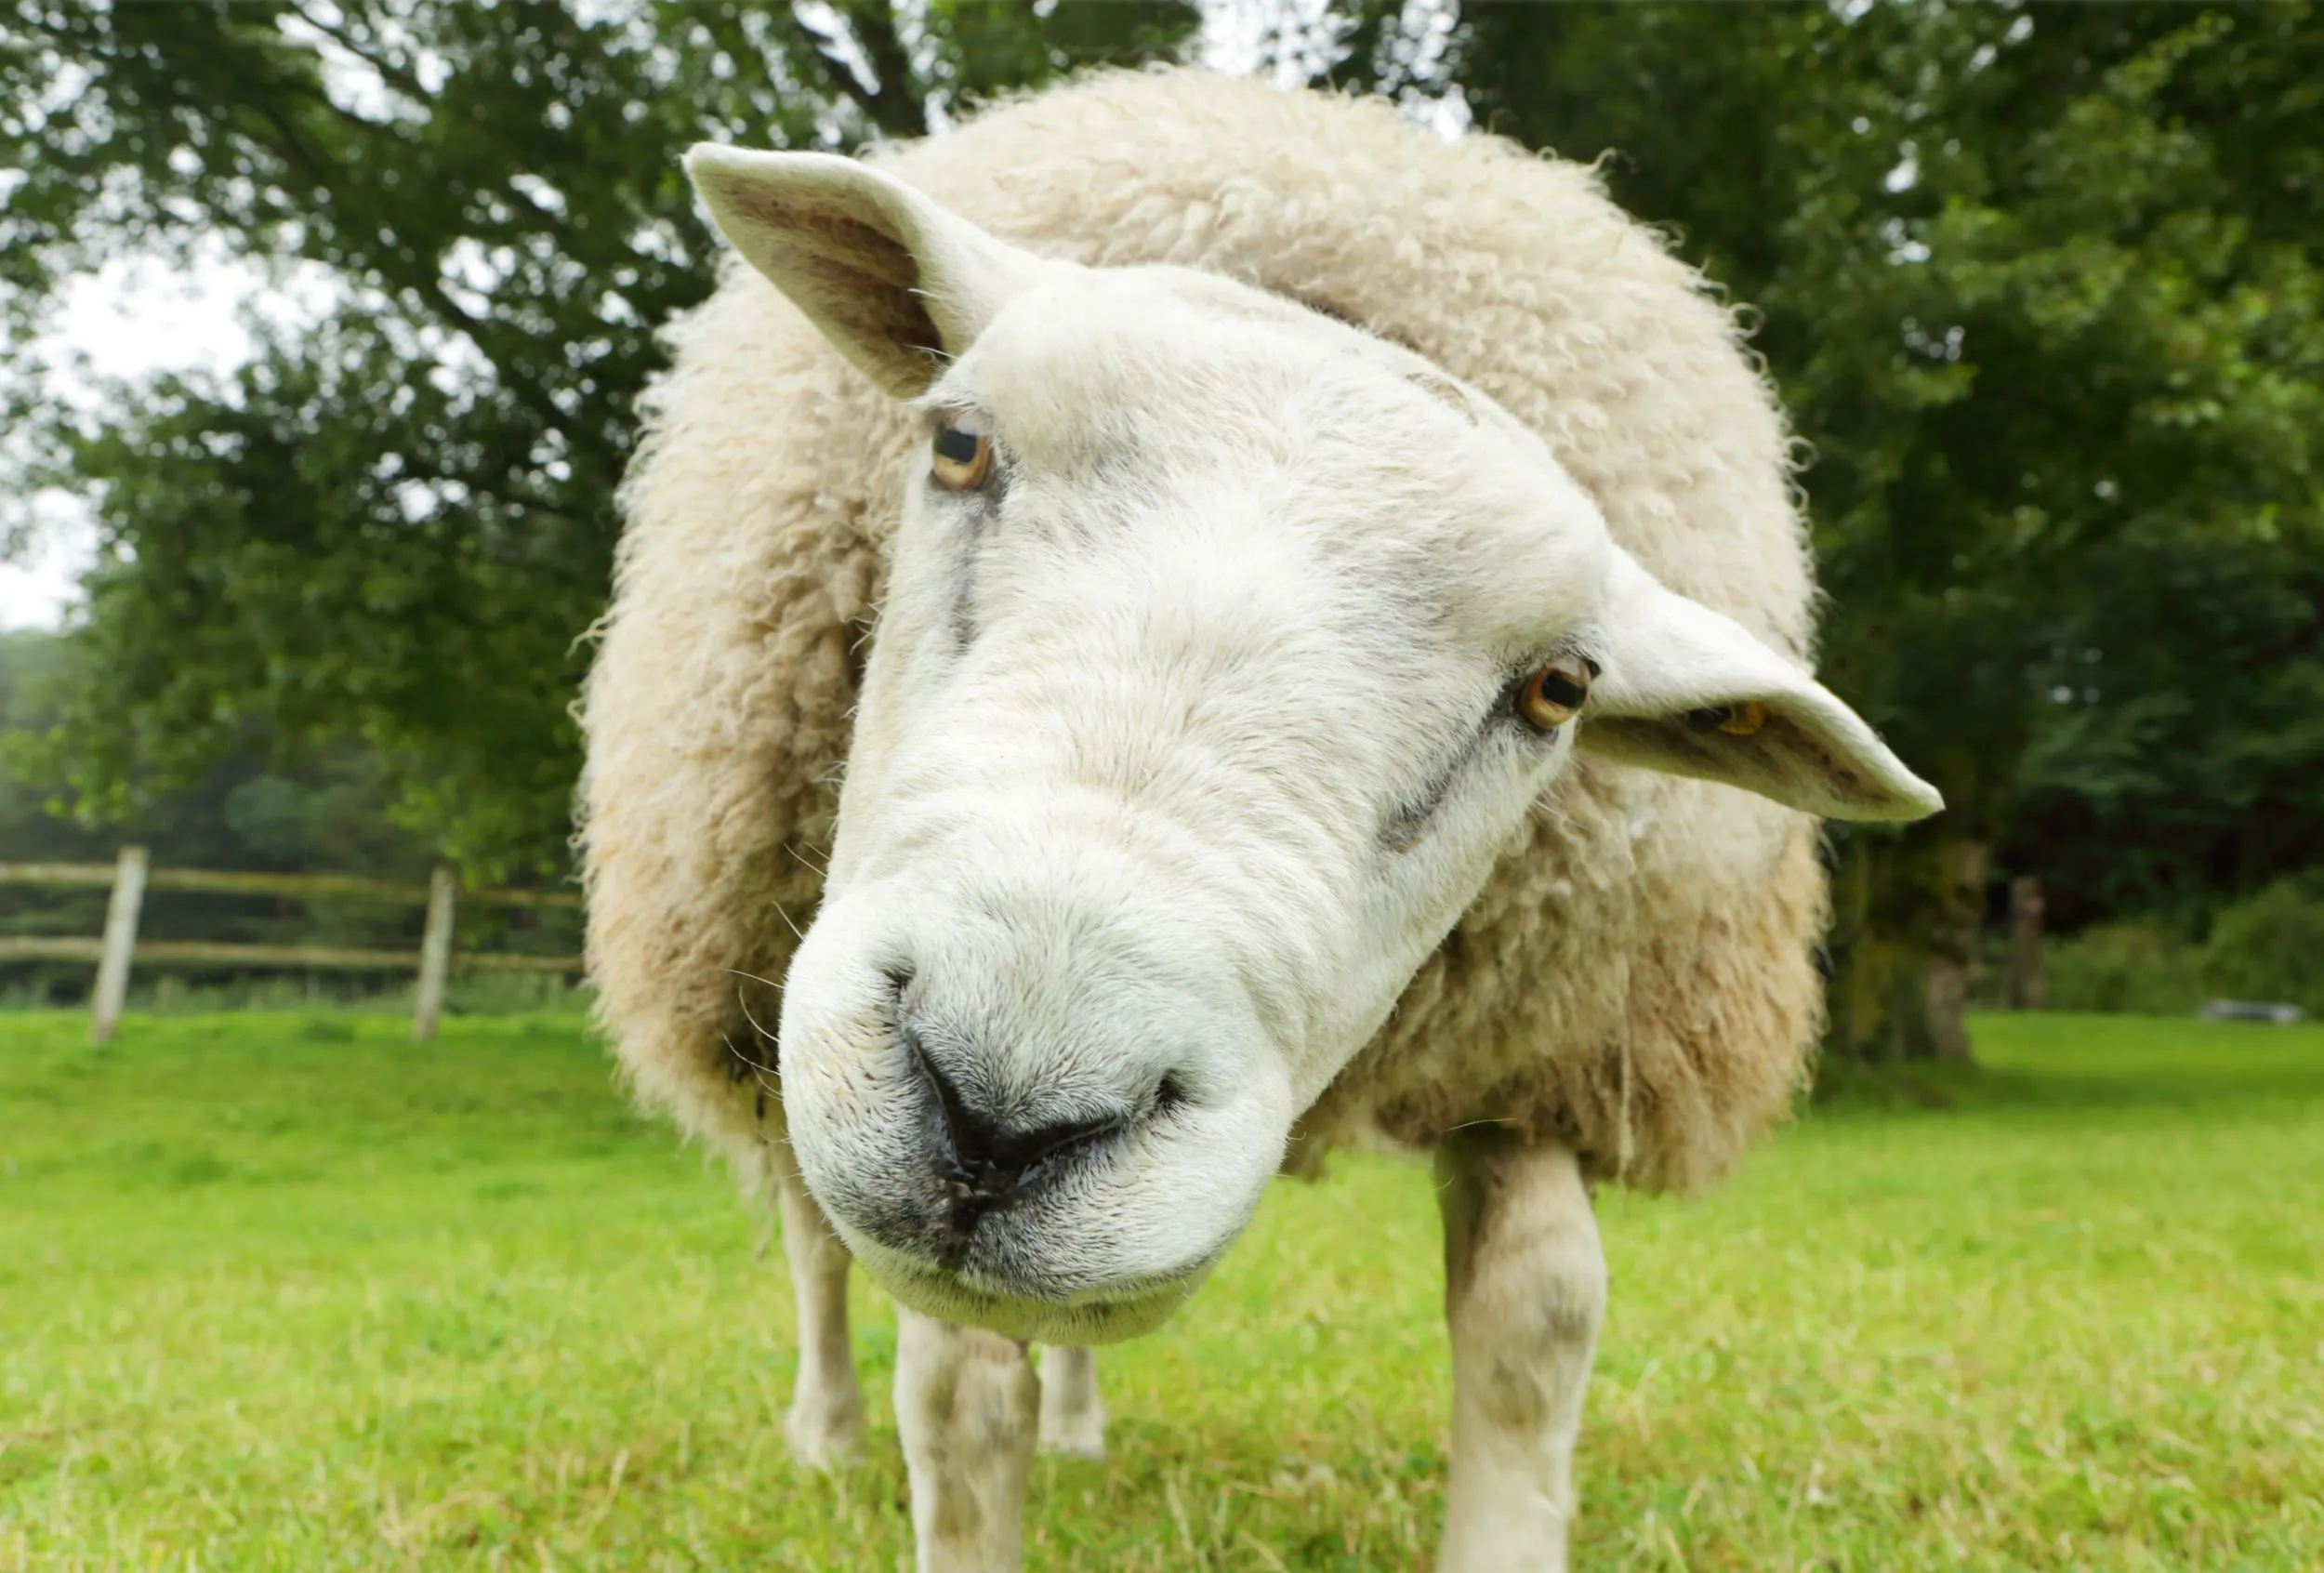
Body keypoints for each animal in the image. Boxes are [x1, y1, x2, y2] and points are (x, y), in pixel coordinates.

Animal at [581, 67, 1943, 1561]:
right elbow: (954, 1395)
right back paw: (825, 1432)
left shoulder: (1543, 1050)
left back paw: (1079, 1423)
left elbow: (1536, 1323)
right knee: (811, 1235)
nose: (1005, 1114)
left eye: (1560, 688)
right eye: (958, 444)